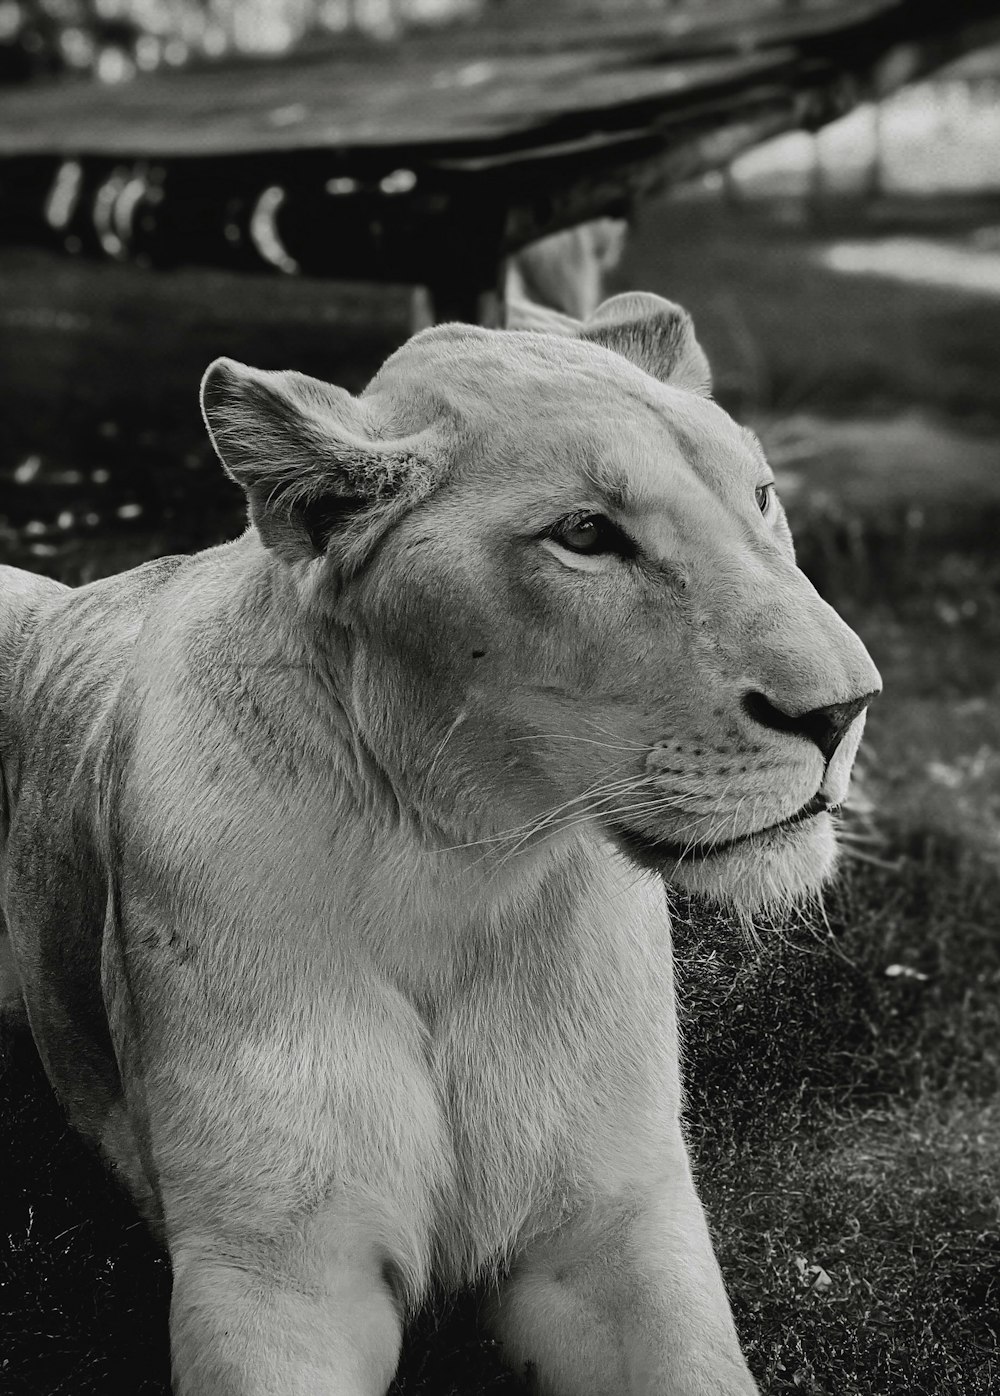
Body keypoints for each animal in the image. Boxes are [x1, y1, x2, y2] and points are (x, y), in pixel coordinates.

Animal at [0, 288, 877, 1390]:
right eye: (585, 533)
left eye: (760, 496)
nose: (845, 710)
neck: (459, 877)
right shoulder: (278, 1273)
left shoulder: (613, 1225)